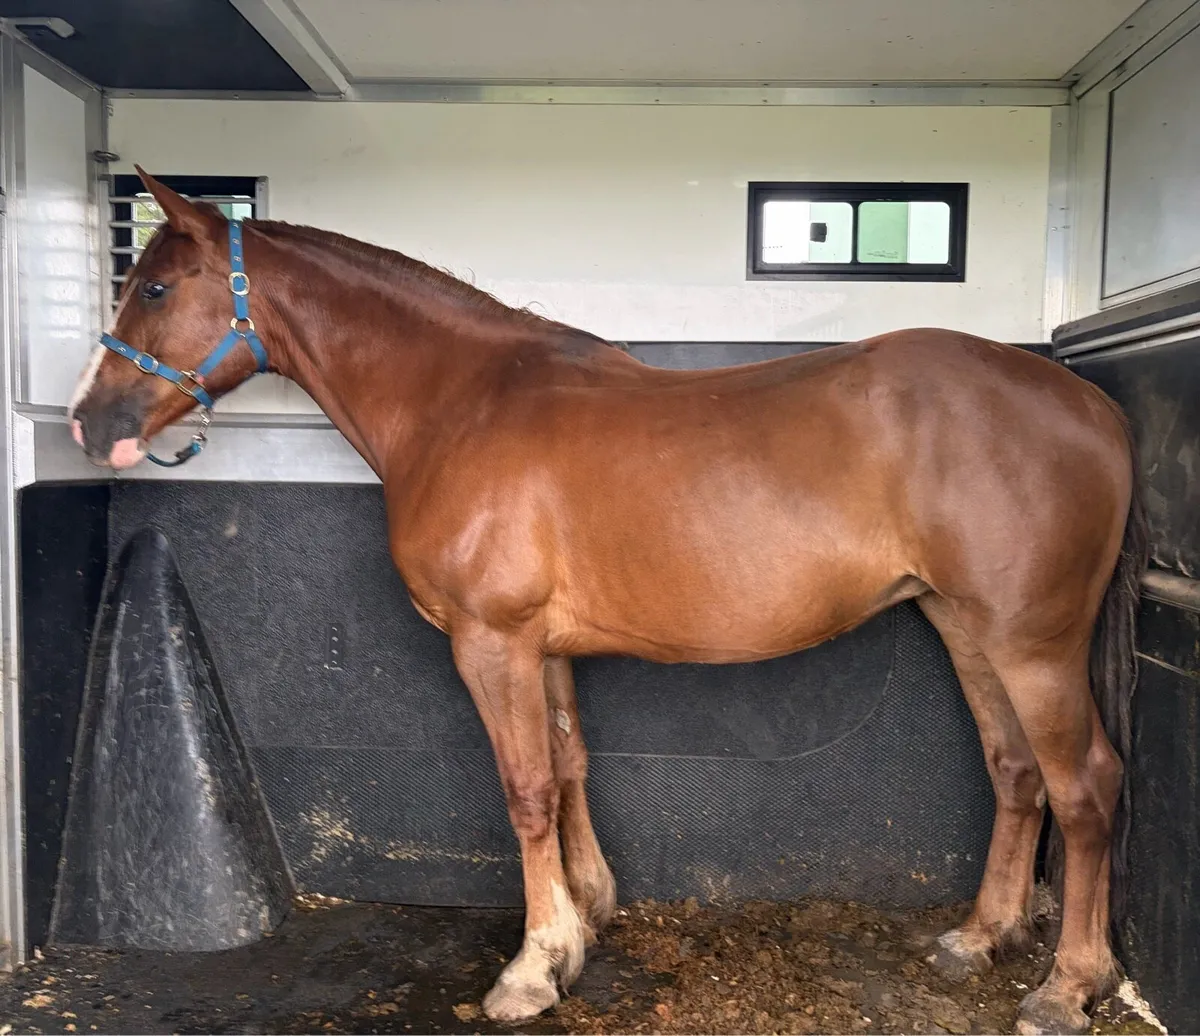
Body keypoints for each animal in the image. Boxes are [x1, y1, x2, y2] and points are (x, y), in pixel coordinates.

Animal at [68, 168, 1146, 1036]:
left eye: (155, 285)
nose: (88, 418)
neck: (460, 403)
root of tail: (1092, 407)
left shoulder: (491, 642)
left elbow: (525, 790)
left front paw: (531, 968)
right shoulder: (540, 647)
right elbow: (569, 768)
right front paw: (584, 920)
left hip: (1035, 642)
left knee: (1085, 785)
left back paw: (1067, 987)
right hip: (965, 626)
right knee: (1016, 770)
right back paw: (980, 937)